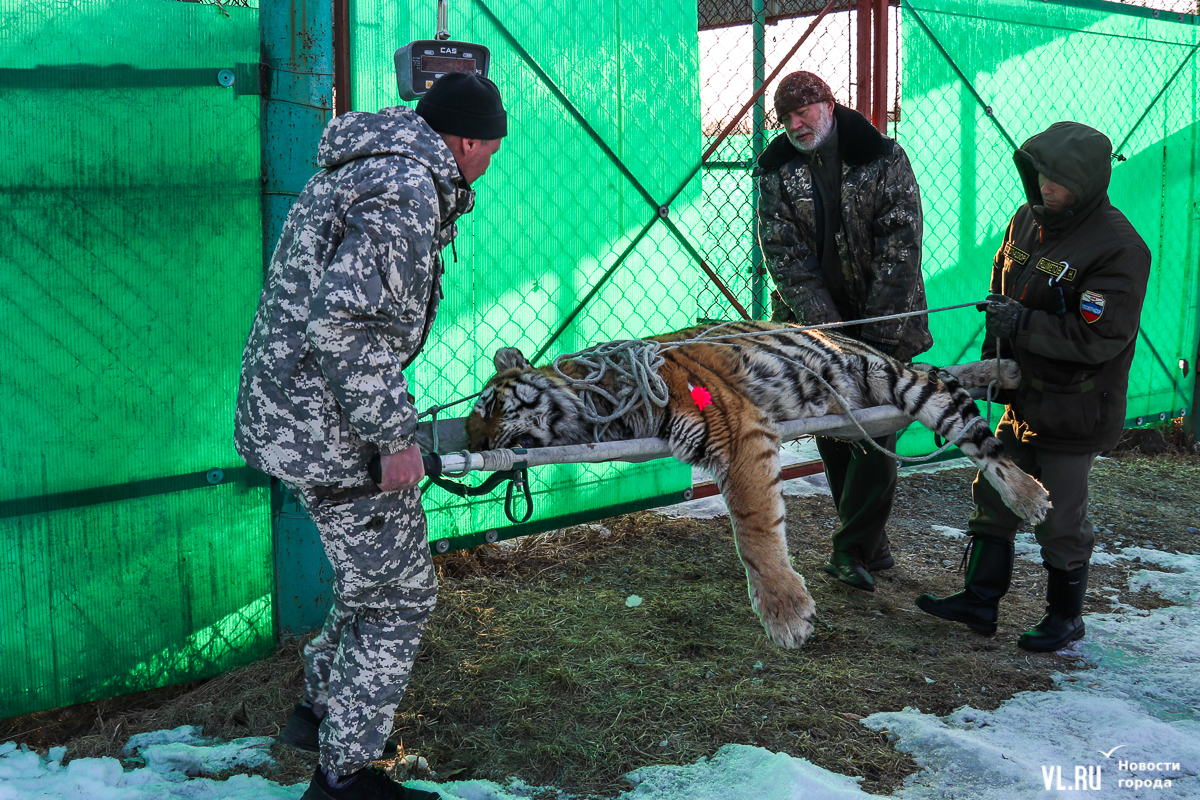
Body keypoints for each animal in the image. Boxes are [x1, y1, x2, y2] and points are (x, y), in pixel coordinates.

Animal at [468, 321, 1051, 652]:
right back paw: (1007, 373)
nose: (473, 445)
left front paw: (785, 615)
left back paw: (1030, 495)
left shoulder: (734, 430)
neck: (599, 409)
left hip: (891, 379)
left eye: (489, 406)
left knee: (977, 436)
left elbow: (752, 530)